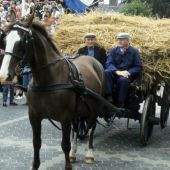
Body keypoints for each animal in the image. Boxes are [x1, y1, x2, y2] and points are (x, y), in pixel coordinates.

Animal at [0, 14, 104, 170]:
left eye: (22, 41)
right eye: (5, 41)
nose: (4, 75)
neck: (48, 79)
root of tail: (93, 60)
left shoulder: (65, 118)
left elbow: (65, 145)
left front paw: (68, 165)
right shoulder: (34, 117)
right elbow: (36, 143)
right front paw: (35, 165)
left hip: (93, 109)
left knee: (91, 127)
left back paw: (89, 154)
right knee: (76, 129)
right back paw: (73, 154)